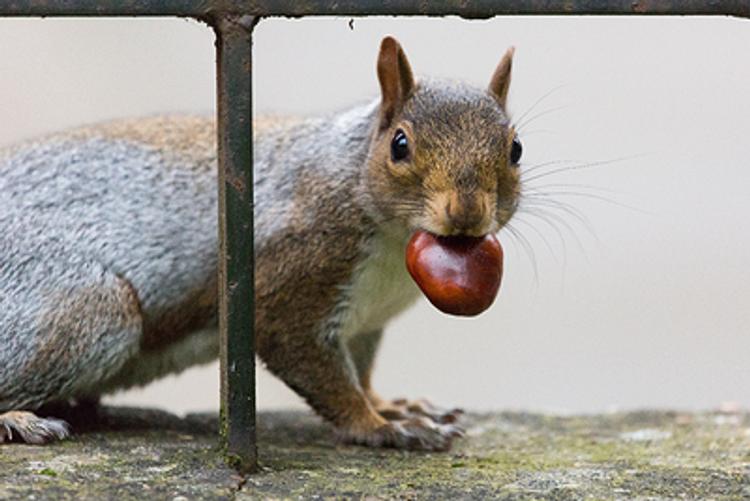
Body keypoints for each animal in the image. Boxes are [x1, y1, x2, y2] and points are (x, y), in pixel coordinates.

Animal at [0, 35, 524, 450]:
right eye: (399, 145)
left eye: (516, 148)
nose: (467, 213)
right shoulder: (296, 268)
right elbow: (318, 368)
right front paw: (380, 426)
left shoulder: (366, 321)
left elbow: (362, 372)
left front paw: (394, 406)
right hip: (89, 312)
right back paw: (19, 418)